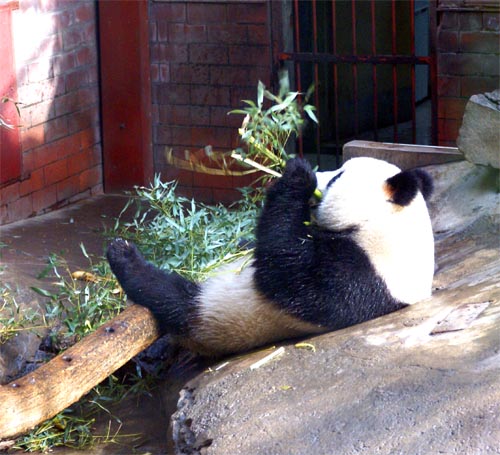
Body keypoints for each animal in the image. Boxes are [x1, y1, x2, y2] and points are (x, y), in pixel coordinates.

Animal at [107, 159, 436, 358]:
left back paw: (123, 255)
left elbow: (289, 274)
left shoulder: (360, 275)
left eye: (338, 176)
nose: (321, 175)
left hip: (211, 312)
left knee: (168, 295)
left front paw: (297, 174)